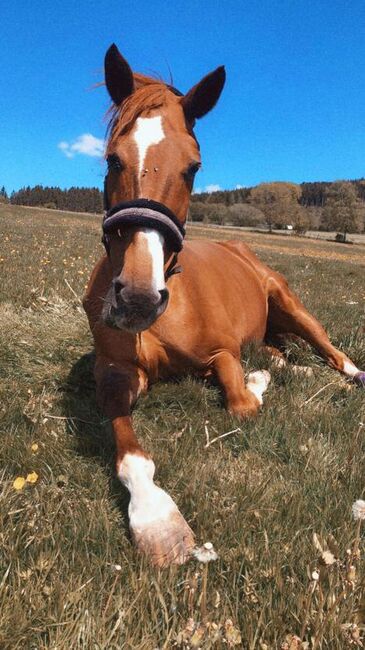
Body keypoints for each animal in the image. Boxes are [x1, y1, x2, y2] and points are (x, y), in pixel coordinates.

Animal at [83, 43, 364, 564]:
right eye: (112, 159)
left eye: (193, 167)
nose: (138, 296)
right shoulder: (117, 374)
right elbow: (127, 446)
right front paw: (155, 518)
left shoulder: (223, 352)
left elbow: (240, 401)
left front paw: (254, 385)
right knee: (287, 356)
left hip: (291, 303)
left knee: (332, 352)